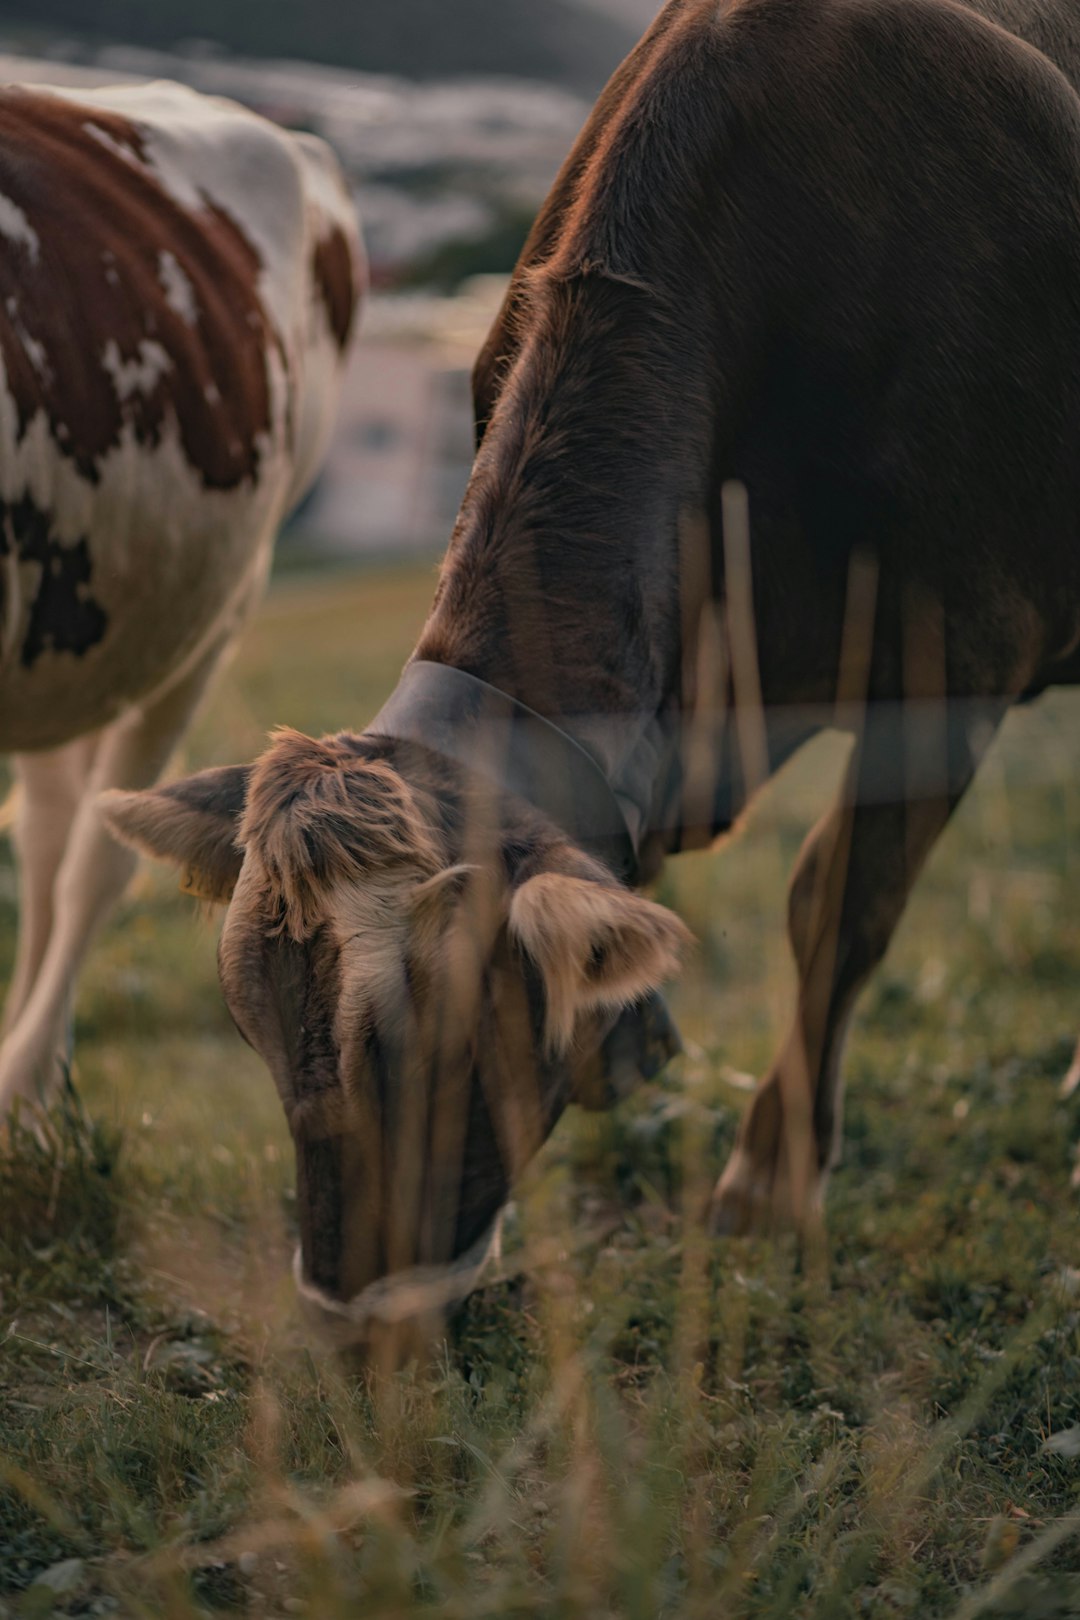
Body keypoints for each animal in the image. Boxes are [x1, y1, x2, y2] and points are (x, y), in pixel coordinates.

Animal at [107, 0, 1080, 1347]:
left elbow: (837, 904)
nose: (349, 1319)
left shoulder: (963, 650)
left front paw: (767, 1191)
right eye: (249, 1021)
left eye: (442, 1039)